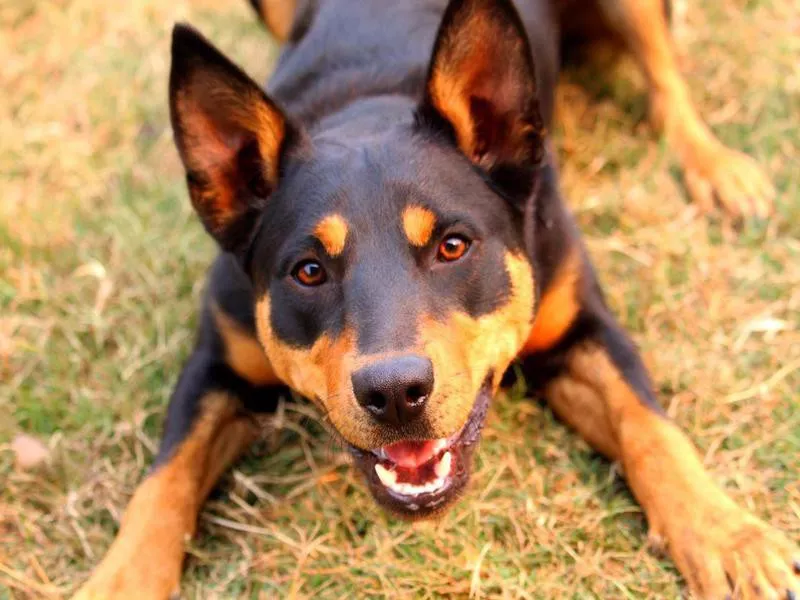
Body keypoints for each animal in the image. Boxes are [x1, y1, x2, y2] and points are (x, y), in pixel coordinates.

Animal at [73, 0, 792, 596]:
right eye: (308, 271)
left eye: (452, 246)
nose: (395, 394)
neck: (369, 107)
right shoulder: (218, 364)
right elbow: (160, 485)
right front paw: (117, 581)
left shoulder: (580, 327)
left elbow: (650, 428)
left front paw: (727, 536)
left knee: (667, 82)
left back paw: (718, 169)